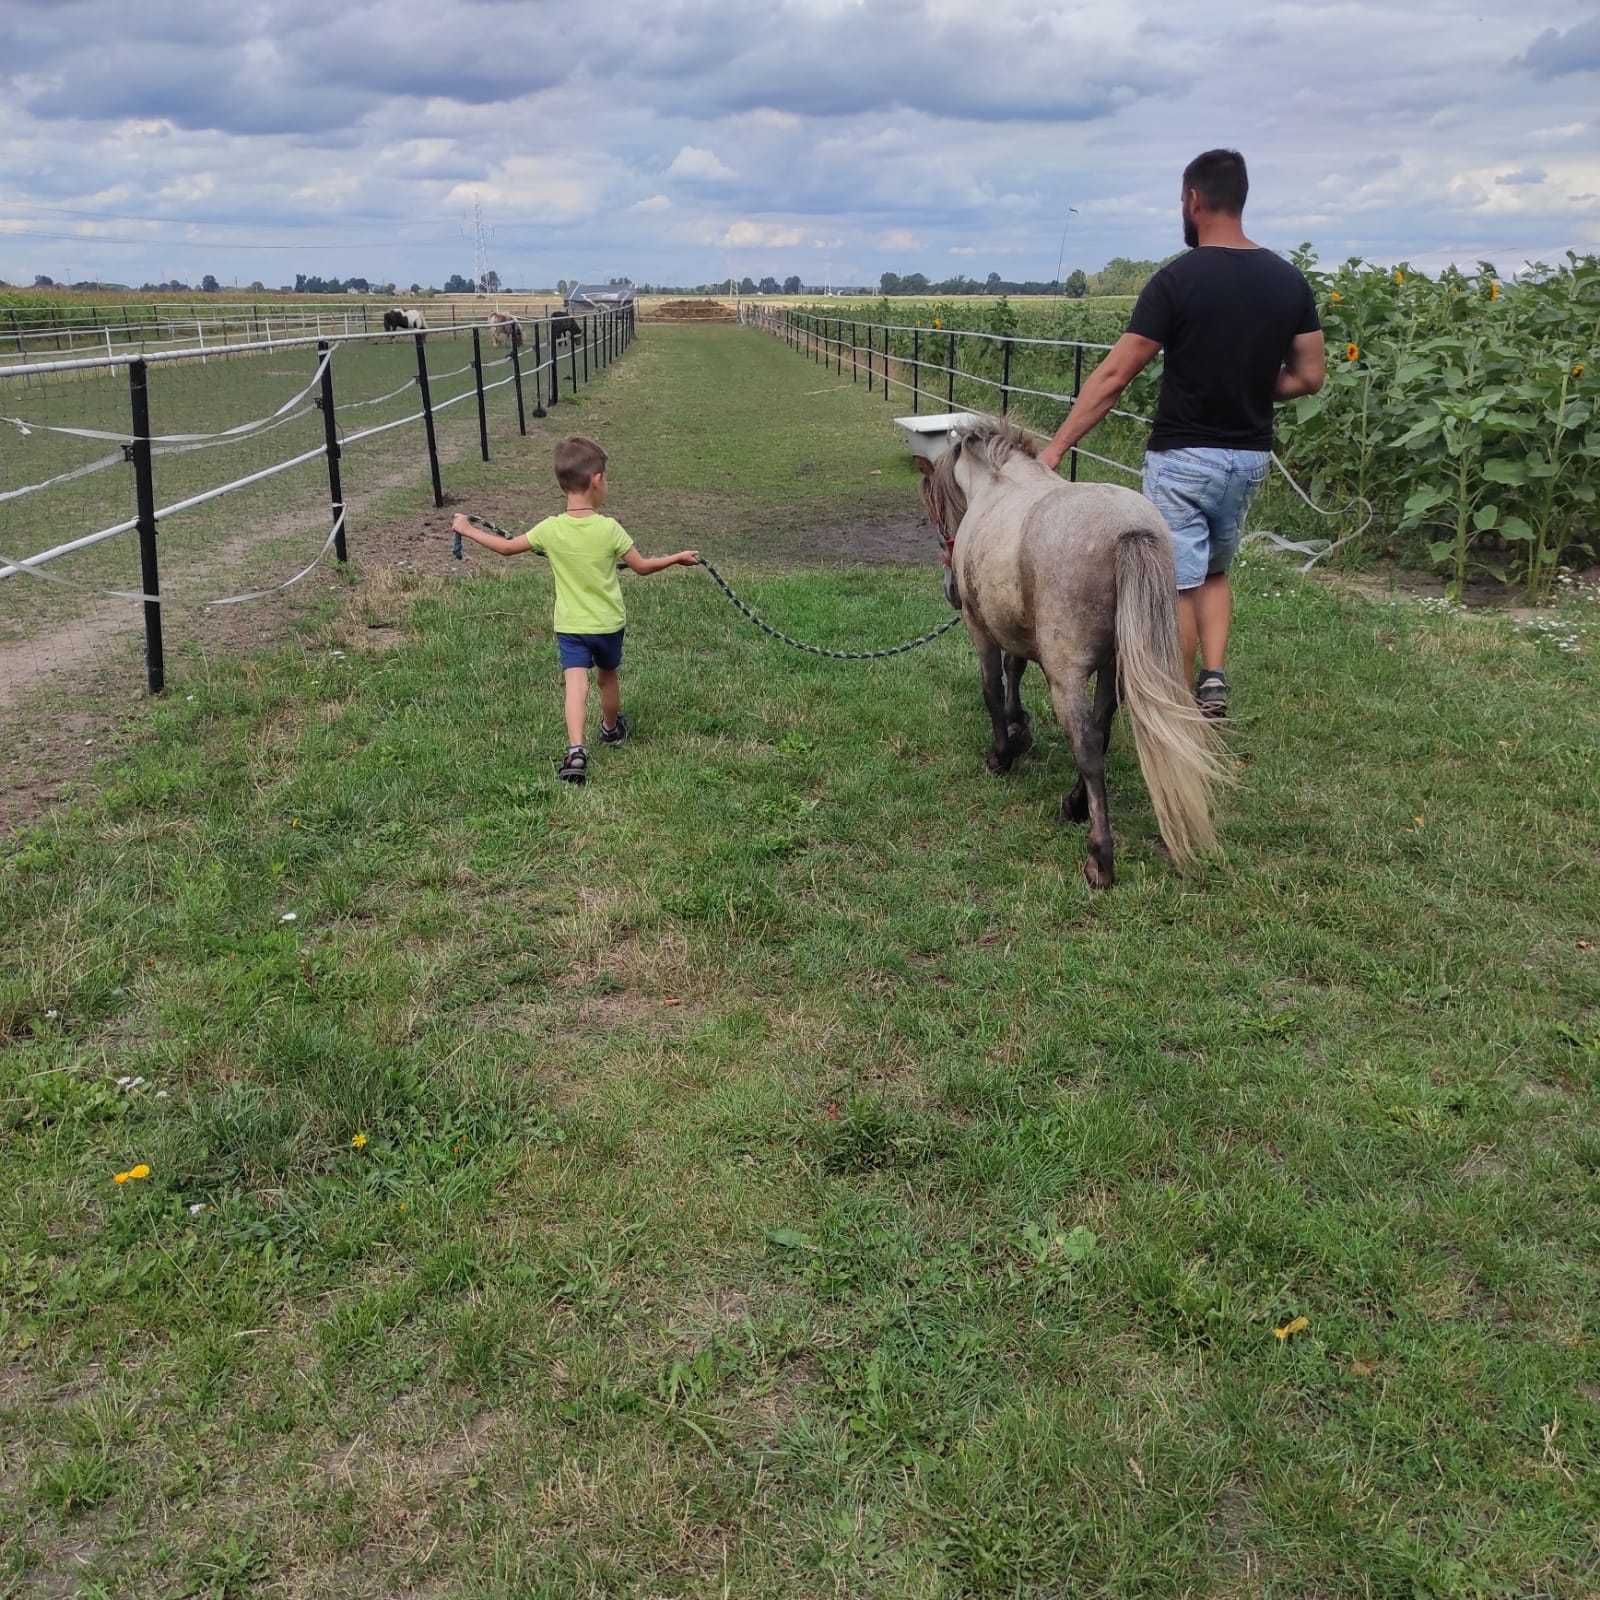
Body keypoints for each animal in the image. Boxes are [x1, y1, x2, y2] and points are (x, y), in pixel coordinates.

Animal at [921, 419, 1228, 896]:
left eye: (940, 513)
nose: (950, 589)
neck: (998, 486)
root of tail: (1130, 531)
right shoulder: (1019, 632)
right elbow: (1014, 670)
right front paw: (1020, 729)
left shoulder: (982, 630)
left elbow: (992, 689)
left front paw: (1002, 754)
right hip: (1112, 671)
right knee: (1099, 734)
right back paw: (1074, 804)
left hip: (1066, 677)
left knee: (1087, 749)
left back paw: (1099, 857)